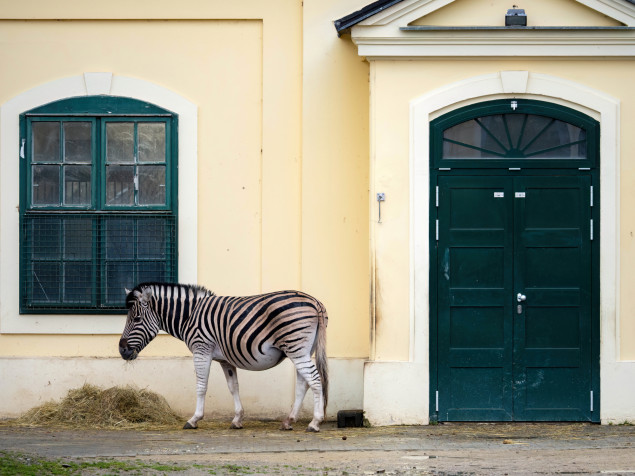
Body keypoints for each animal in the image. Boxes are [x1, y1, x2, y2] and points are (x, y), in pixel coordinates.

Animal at [119, 280, 330, 434]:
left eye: (136, 319)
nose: (122, 350)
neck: (189, 316)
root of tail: (316, 302)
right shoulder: (225, 360)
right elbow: (233, 386)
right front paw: (237, 419)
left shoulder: (201, 350)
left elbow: (201, 386)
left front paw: (194, 419)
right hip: (302, 350)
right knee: (303, 384)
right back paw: (289, 421)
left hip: (296, 348)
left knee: (315, 380)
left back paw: (315, 422)